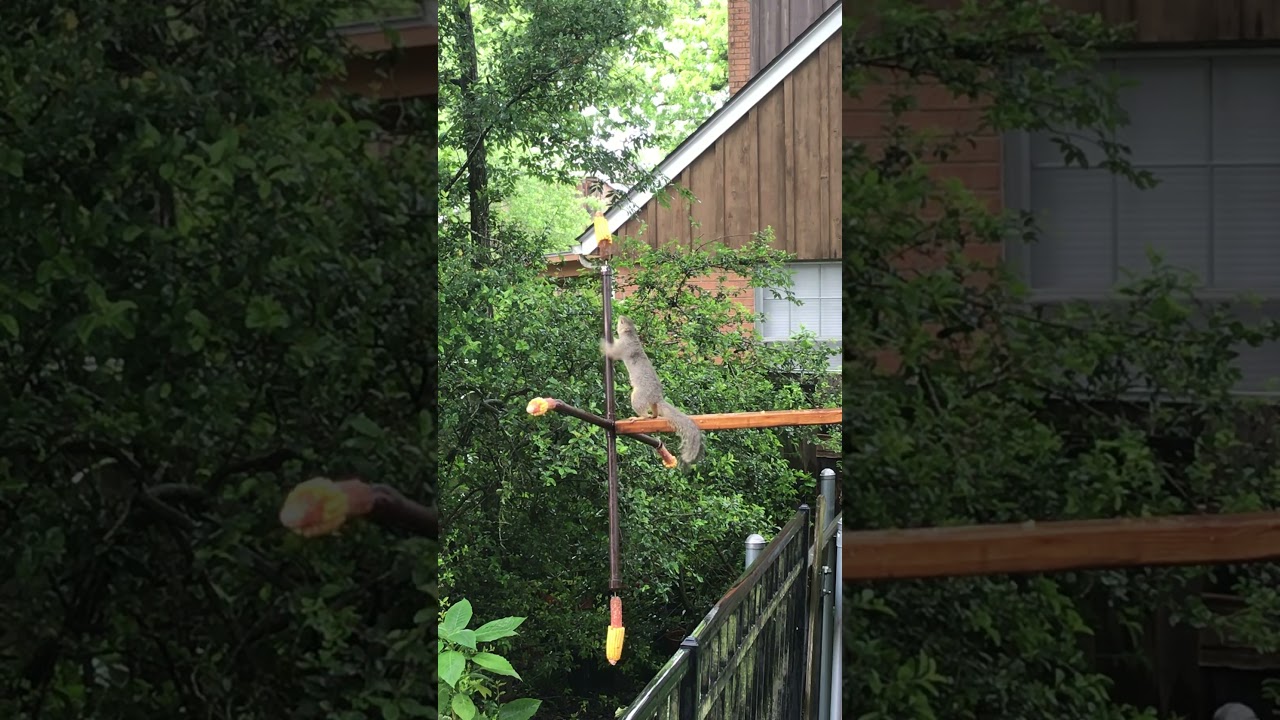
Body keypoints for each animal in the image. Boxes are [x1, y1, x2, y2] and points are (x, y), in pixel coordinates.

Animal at [601, 316, 704, 469]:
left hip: (637, 397)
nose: (620, 317)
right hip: (651, 403)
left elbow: (612, 353)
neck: (631, 336)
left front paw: (602, 342)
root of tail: (657, 397)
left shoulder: (623, 347)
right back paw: (653, 415)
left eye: (622, 322)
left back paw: (639, 418)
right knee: (654, 414)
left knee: (643, 413)